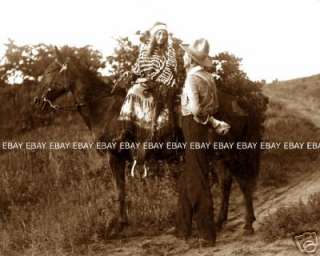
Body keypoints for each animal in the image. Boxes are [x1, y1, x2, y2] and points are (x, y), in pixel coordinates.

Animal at [33, 49, 262, 238]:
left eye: (50, 71)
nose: (36, 101)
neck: (105, 109)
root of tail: (237, 101)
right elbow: (121, 190)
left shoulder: (114, 157)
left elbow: (120, 191)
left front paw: (119, 226)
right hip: (220, 154)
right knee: (227, 182)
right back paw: (222, 221)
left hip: (227, 152)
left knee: (241, 181)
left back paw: (247, 224)